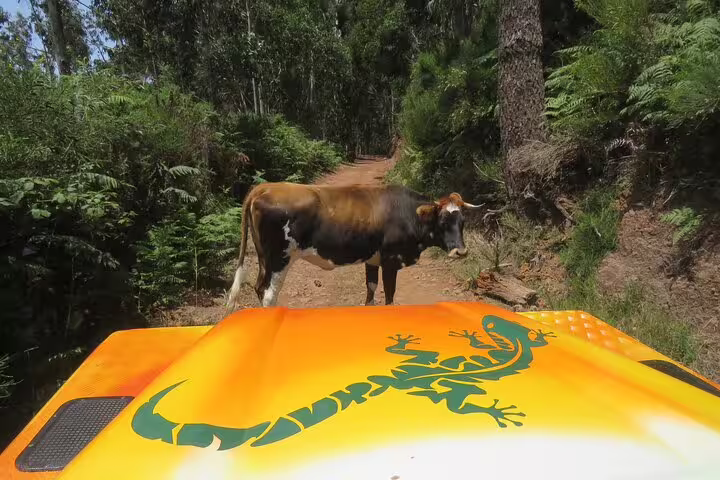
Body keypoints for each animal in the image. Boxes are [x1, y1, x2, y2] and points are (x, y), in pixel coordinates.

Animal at [225, 182, 482, 309]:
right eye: (443, 221)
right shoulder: (391, 260)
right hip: (280, 258)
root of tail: (265, 187)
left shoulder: (373, 259)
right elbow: (389, 296)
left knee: (259, 287)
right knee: (269, 294)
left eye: (462, 222)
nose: (461, 251)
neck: (407, 213)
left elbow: (371, 290)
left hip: (264, 258)